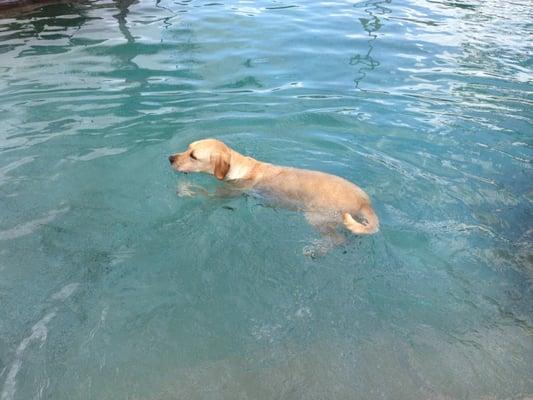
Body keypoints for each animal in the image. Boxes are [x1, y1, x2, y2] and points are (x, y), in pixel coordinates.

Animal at [169, 139, 378, 252]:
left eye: (193, 156)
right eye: (187, 148)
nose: (170, 158)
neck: (239, 167)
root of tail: (364, 202)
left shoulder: (226, 193)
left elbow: (203, 193)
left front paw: (186, 190)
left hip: (316, 218)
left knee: (337, 240)